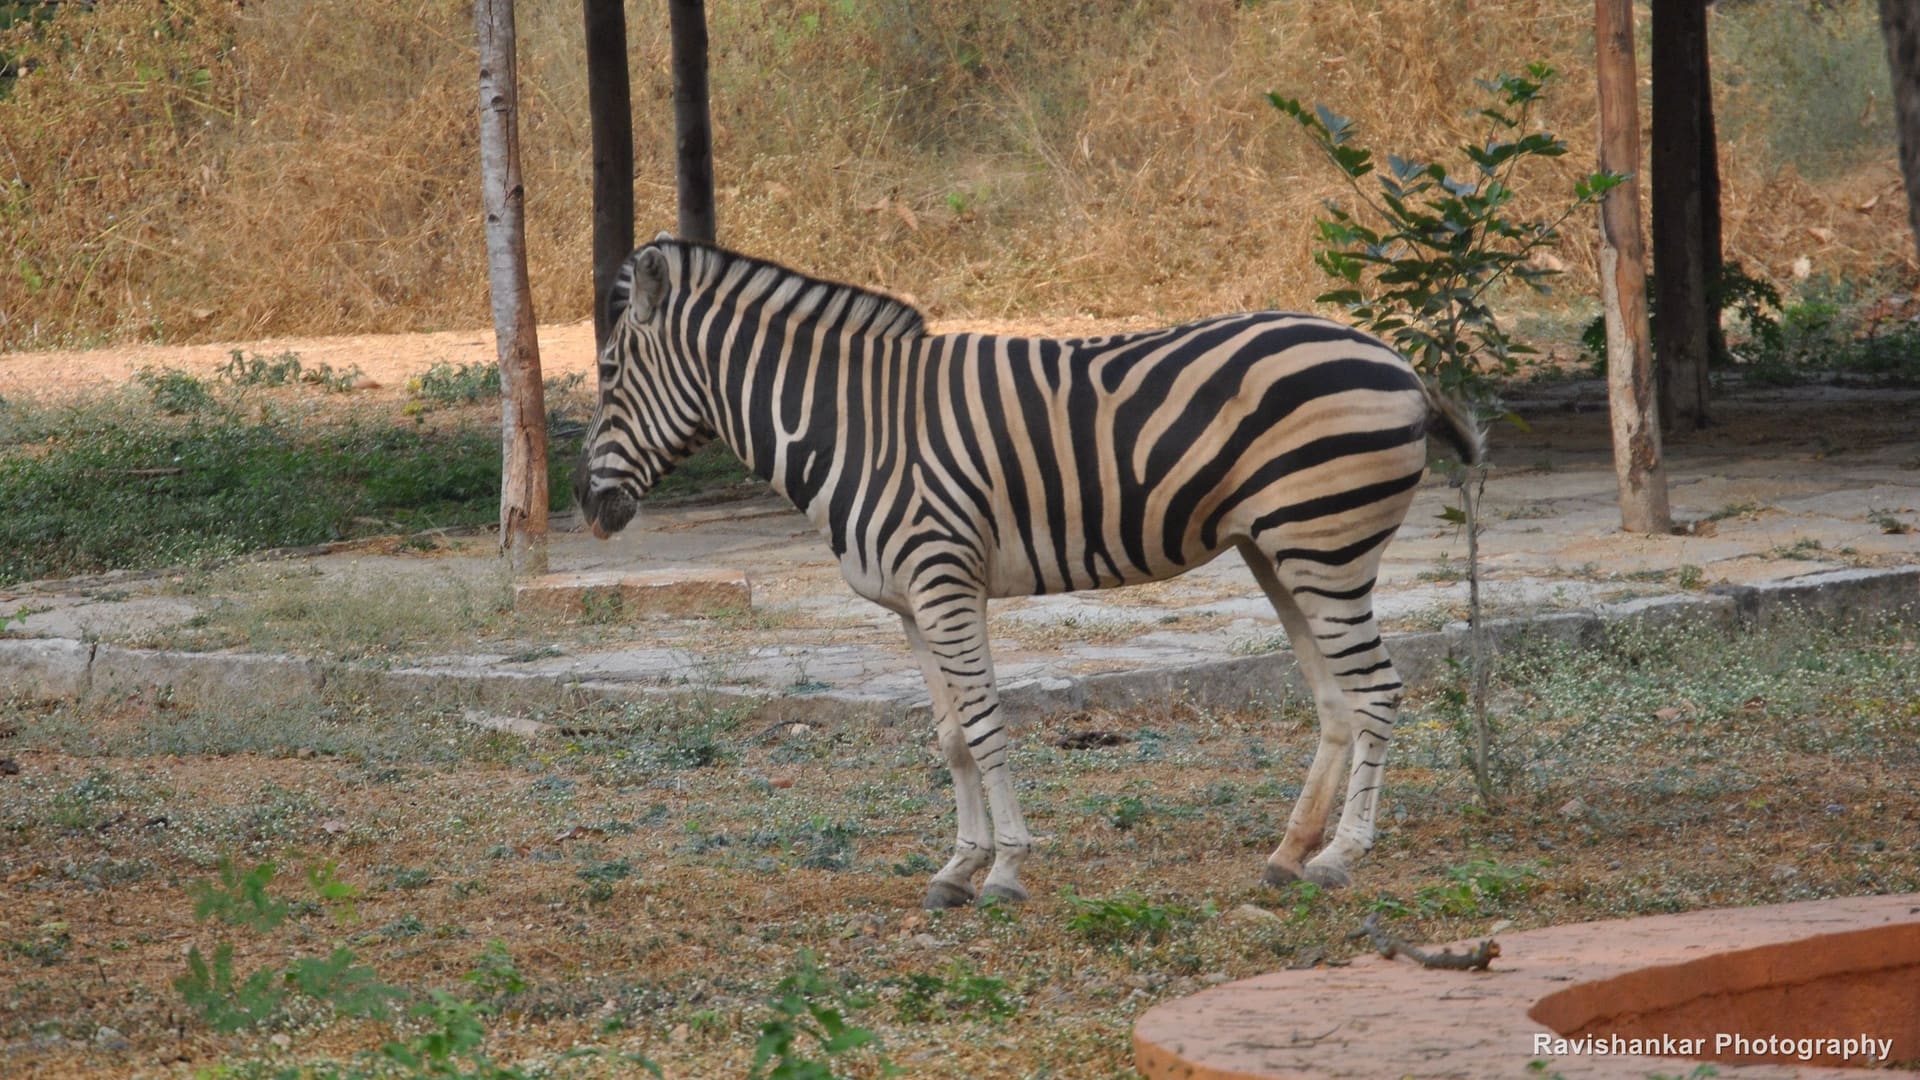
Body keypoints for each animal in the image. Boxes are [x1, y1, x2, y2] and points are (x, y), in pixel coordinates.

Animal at [576, 234, 1485, 909]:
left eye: (611, 370)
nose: (585, 501)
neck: (851, 423)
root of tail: (1397, 360)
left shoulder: (944, 580)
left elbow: (984, 724)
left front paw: (1006, 870)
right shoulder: (911, 603)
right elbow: (948, 737)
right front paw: (956, 867)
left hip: (1324, 545)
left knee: (1375, 689)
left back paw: (1341, 856)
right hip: (1279, 548)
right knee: (1335, 697)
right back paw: (1290, 854)